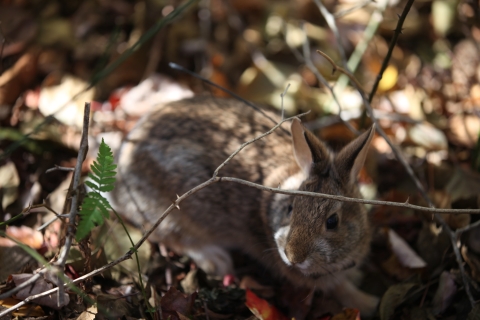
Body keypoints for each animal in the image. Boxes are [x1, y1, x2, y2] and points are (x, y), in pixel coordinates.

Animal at [111, 96, 378, 316]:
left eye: (332, 222)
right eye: (291, 208)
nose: (292, 256)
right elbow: (341, 290)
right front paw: (368, 303)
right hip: (170, 211)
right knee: (173, 237)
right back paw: (216, 260)